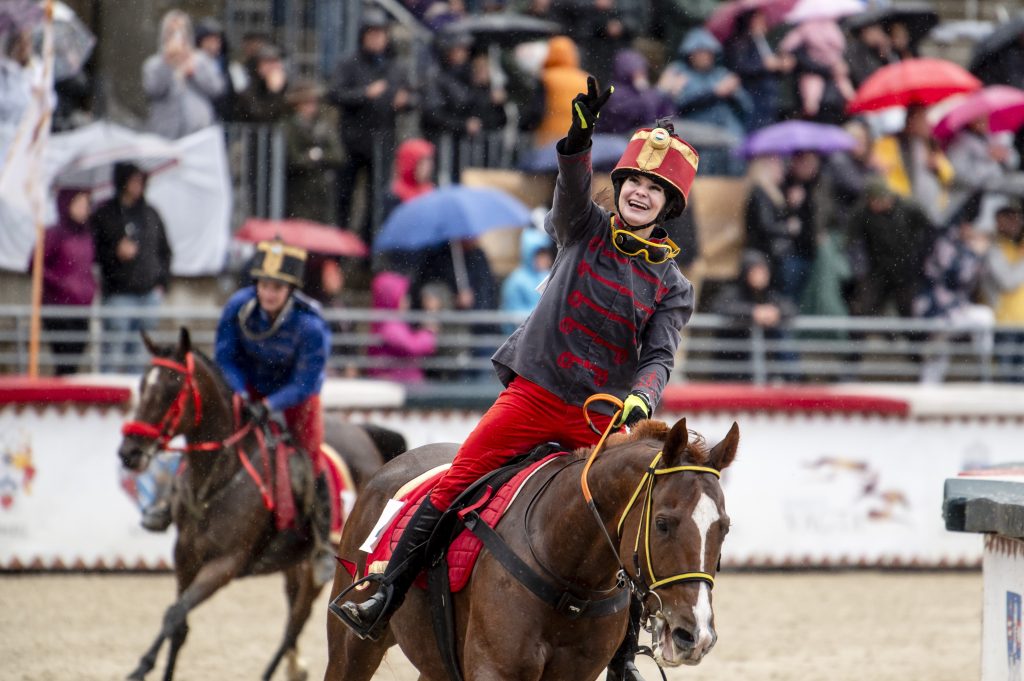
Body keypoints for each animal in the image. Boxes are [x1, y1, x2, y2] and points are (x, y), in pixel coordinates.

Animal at [115, 329, 395, 679]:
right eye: (142, 385)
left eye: (172, 387)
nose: (130, 451)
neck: (218, 478)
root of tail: (363, 434)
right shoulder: (185, 556)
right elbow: (179, 624)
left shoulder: (226, 563)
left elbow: (175, 614)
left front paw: (141, 667)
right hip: (293, 565)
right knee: (293, 621)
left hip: (321, 568)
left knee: (296, 624)